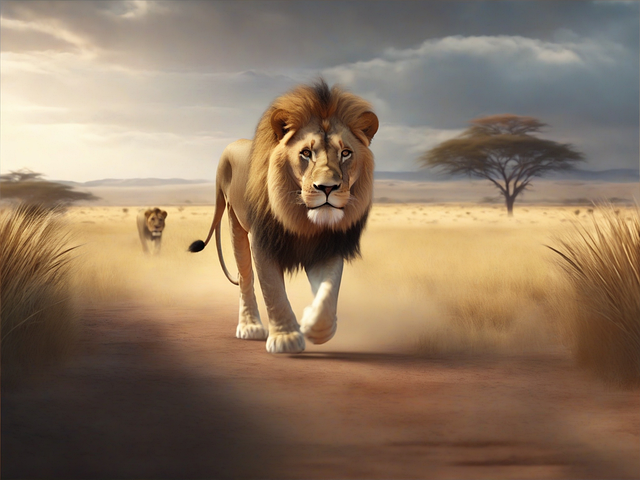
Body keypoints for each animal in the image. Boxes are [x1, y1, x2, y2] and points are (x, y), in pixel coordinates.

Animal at [189, 80, 378, 354]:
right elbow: (273, 290)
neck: (301, 219)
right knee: (245, 278)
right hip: (235, 220)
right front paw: (285, 337)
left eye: (345, 153)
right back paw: (250, 326)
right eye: (306, 153)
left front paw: (315, 326)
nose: (327, 188)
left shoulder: (328, 245)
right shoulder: (263, 241)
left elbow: (329, 289)